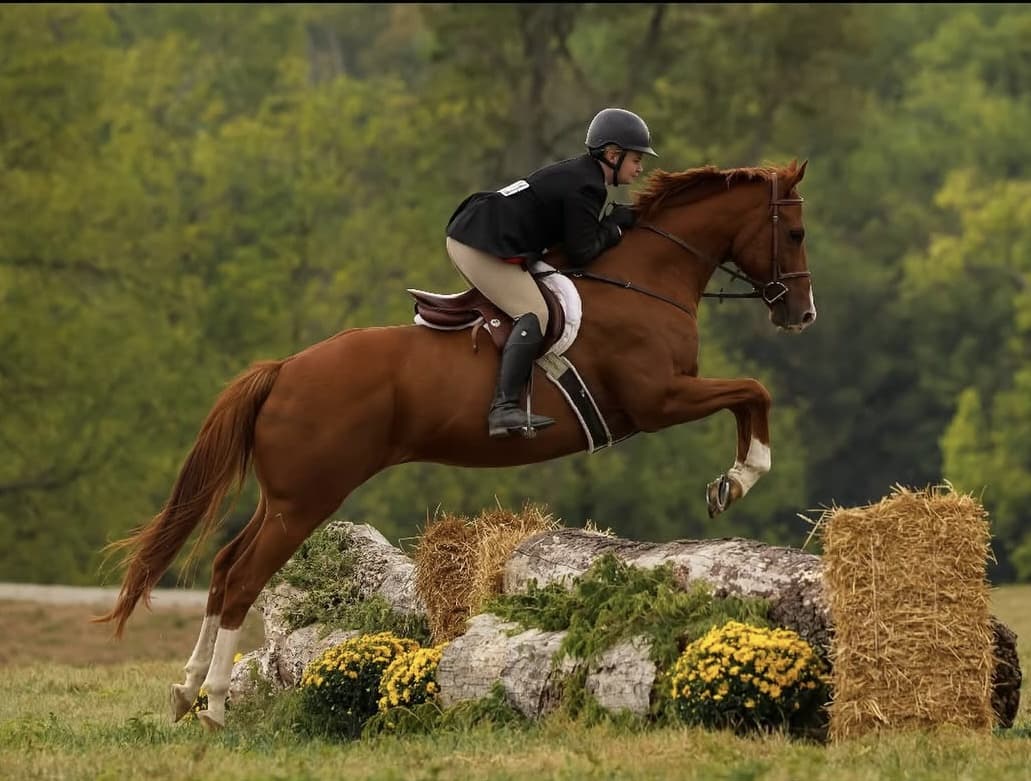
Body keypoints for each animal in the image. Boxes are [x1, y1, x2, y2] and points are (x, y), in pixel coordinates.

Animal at [95, 159, 814, 730]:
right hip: (306, 500)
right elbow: (754, 392)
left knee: (223, 570)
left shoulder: (666, 397)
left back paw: (186, 691)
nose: (800, 315)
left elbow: (750, 395)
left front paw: (732, 478)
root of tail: (285, 369)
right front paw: (738, 478)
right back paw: (215, 704)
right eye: (797, 233)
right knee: (243, 578)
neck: (644, 277)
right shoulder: (658, 399)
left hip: (285, 499)